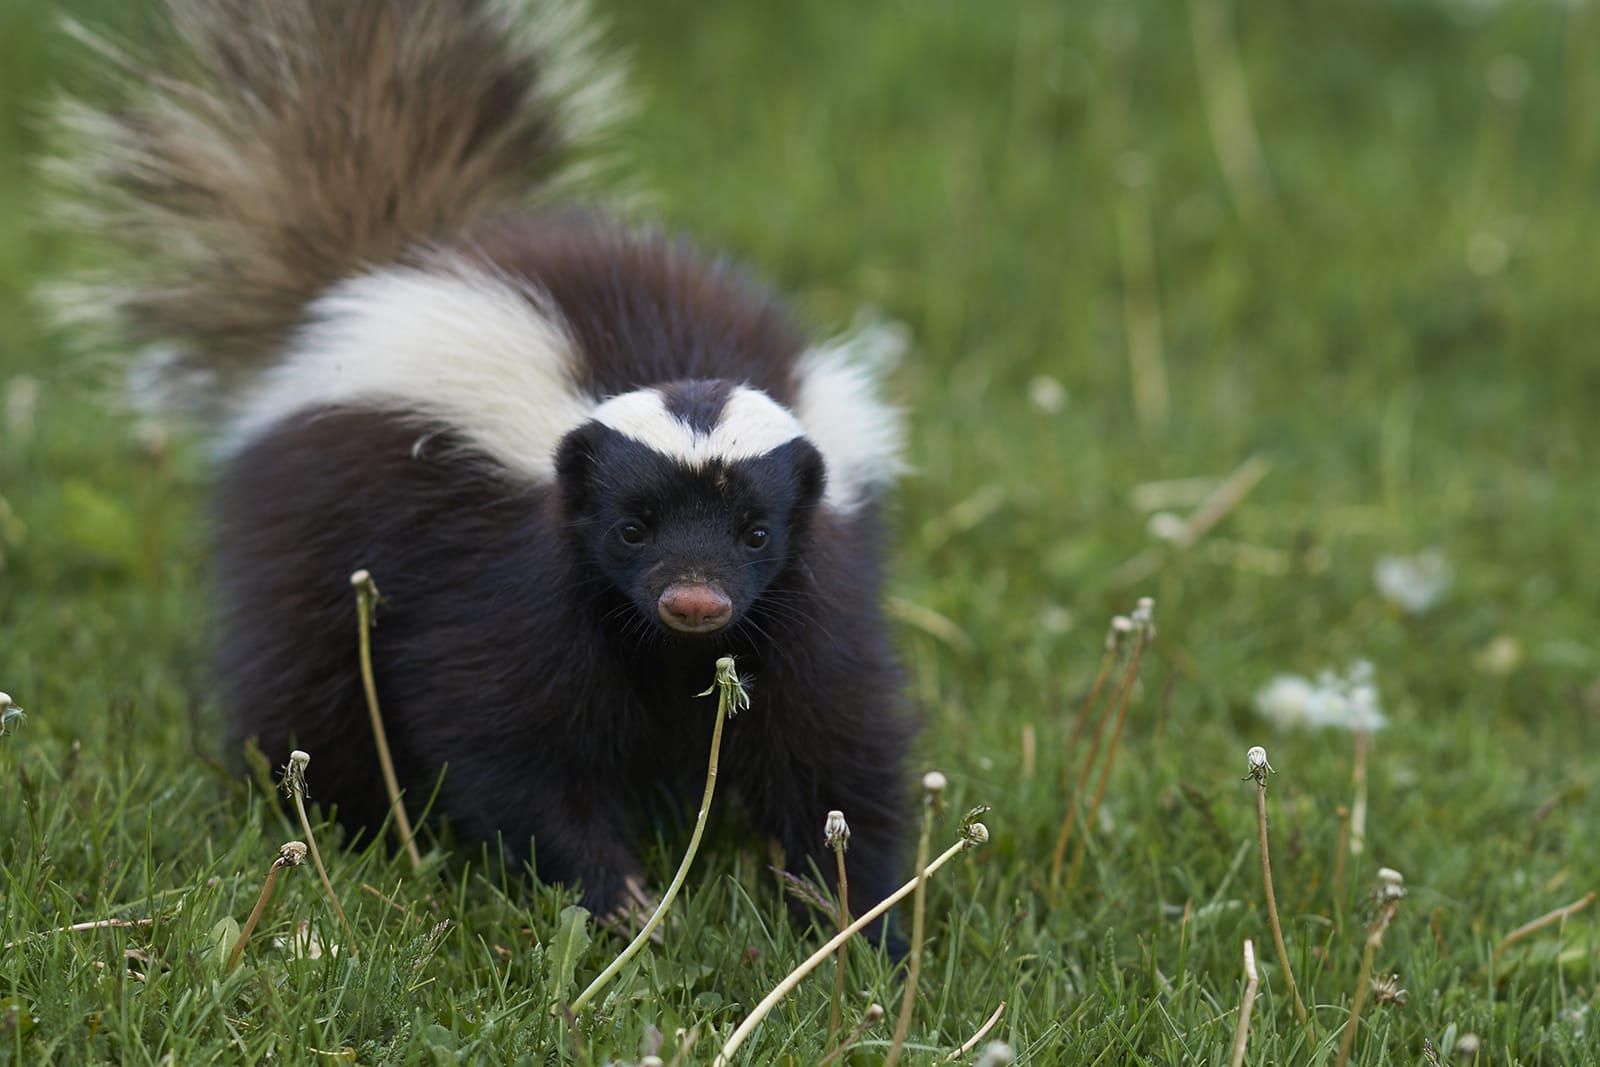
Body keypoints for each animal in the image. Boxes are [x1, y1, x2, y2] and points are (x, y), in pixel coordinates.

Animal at [50, 0, 921, 934]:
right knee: (310, 683)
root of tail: (368, 275)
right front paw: (618, 896)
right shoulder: (512, 582)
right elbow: (506, 733)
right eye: (631, 527)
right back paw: (337, 818)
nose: (695, 598)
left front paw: (859, 915)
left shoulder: (810, 591)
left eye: (757, 531)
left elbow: (833, 738)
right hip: (314, 530)